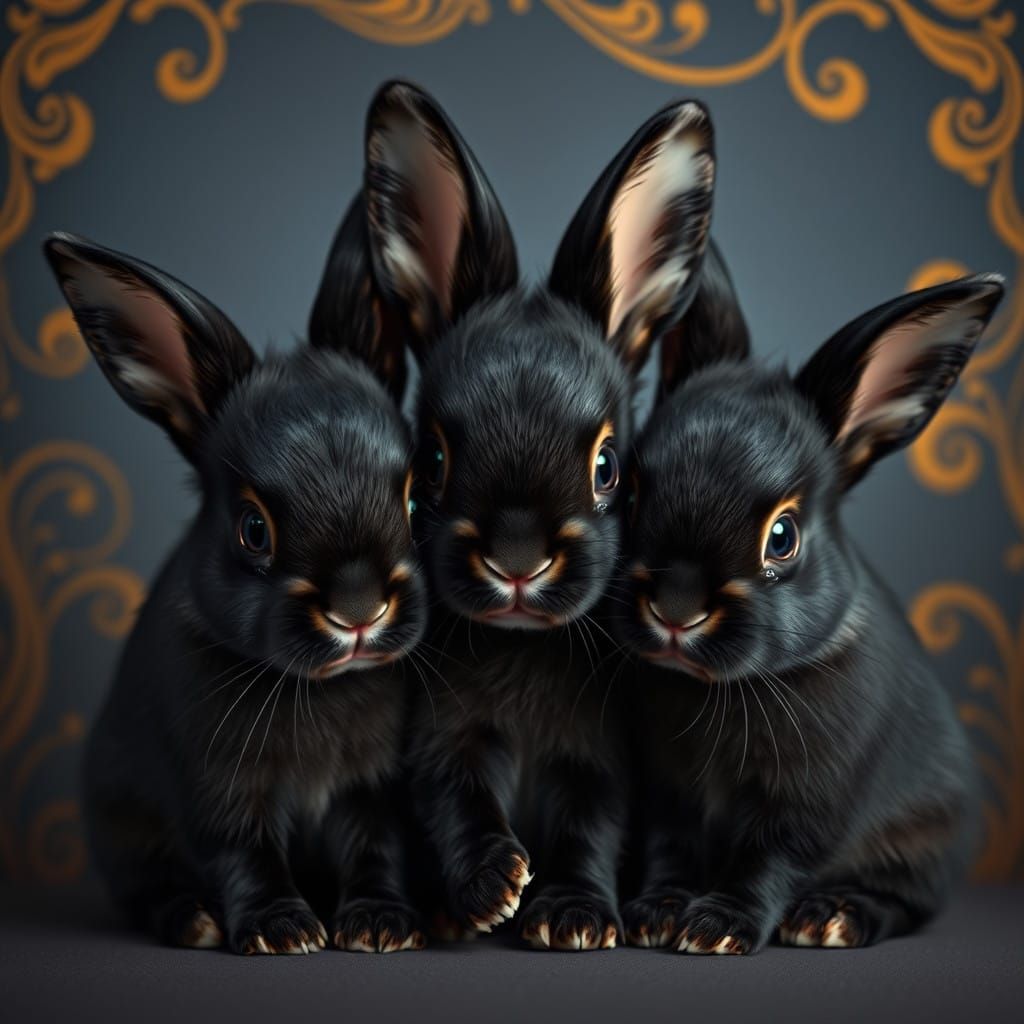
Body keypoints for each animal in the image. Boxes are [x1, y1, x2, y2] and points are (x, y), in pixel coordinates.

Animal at [43, 194, 430, 955]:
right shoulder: (220, 792)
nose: (359, 609)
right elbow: (246, 855)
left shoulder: (374, 792)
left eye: (410, 498)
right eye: (254, 529)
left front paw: (379, 926)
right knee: (149, 888)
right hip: (121, 826)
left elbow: (374, 848)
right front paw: (283, 932)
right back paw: (193, 922)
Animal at [360, 81, 720, 950]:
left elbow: (588, 828)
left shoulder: (597, 763)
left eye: (608, 466)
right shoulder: (446, 745)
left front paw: (574, 918)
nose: (517, 559)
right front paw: (493, 891)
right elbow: (460, 808)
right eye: (434, 462)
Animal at [615, 267, 1004, 954]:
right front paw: (655, 917)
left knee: (903, 904)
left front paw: (715, 930)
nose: (674, 609)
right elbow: (672, 853)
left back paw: (831, 918)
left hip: (924, 843)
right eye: (632, 494)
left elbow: (767, 863)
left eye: (783, 536)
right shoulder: (669, 797)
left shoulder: (806, 808)